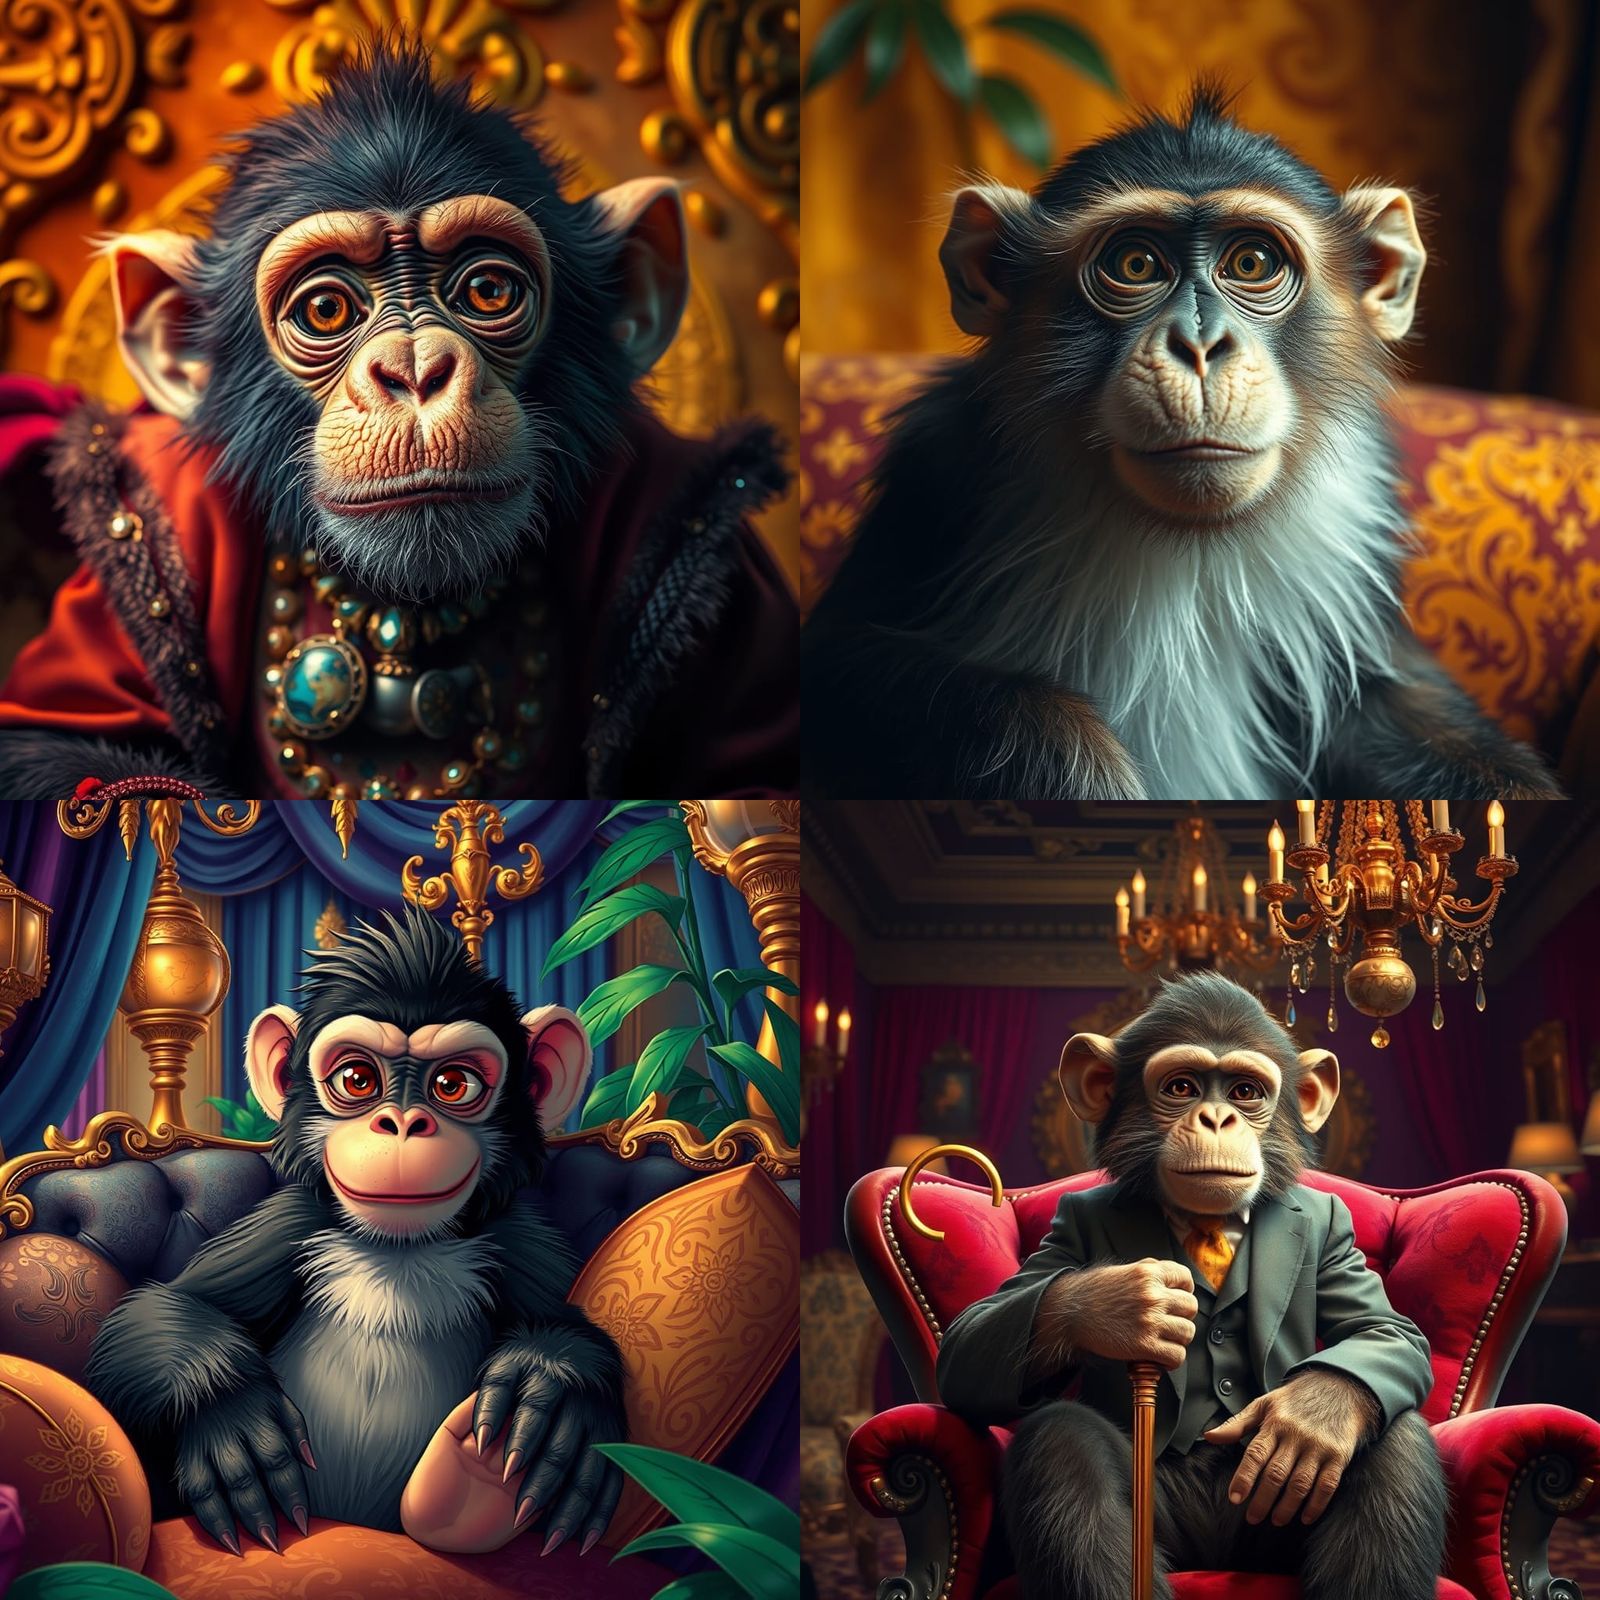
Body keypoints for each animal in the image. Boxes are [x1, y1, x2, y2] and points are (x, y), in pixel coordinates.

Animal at [0, 40, 795, 800]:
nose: (415, 371)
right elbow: (52, 745)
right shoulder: (152, 502)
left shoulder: (682, 503)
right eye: (326, 309)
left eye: (488, 290)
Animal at [86, 906, 626, 1558]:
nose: (402, 1123)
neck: (401, 1253)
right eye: (357, 1079)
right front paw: (232, 1420)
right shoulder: (289, 1223)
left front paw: (551, 1389)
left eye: (455, 1085)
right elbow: (169, 1308)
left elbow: (567, 1320)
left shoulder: (516, 1237)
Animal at [801, 83, 1559, 801]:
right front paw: (1078, 774)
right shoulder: (934, 471)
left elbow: (1384, 694)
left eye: (1251, 262)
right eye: (1136, 264)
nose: (1198, 344)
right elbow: (843, 667)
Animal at [935, 971, 1447, 1600]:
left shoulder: (1335, 1234)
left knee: (1393, 1437)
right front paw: (1124, 1307)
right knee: (1058, 1436)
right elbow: (974, 1336)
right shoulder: (1064, 1225)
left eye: (1246, 1092)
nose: (1216, 1120)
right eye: (1181, 1086)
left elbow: (1386, 1327)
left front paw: (1309, 1420)